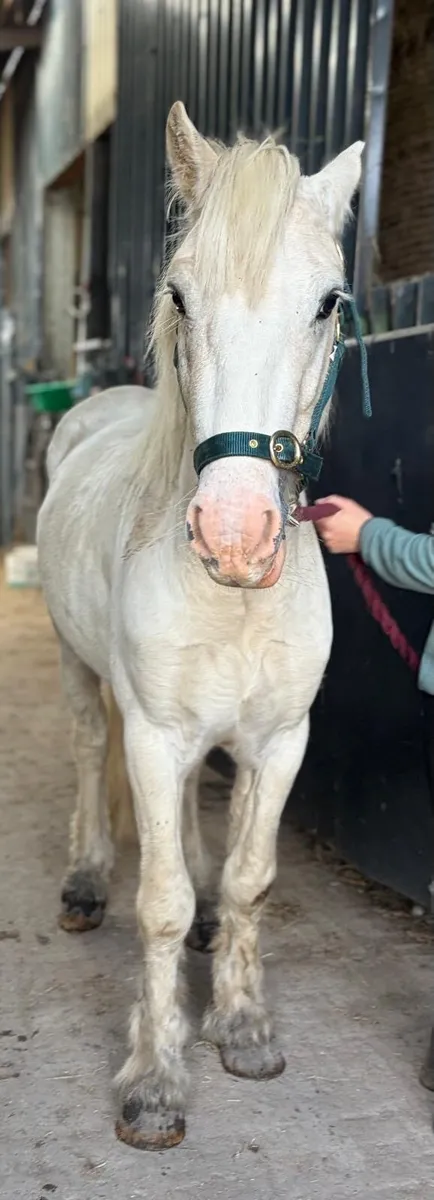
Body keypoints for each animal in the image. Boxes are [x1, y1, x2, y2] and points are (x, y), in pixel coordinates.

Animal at [37, 101, 364, 1151]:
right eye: (179, 295)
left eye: (330, 304)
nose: (235, 532)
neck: (237, 598)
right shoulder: (151, 735)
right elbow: (163, 904)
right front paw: (155, 1079)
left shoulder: (279, 741)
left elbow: (249, 879)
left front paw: (243, 1027)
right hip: (81, 676)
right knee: (89, 760)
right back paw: (85, 880)